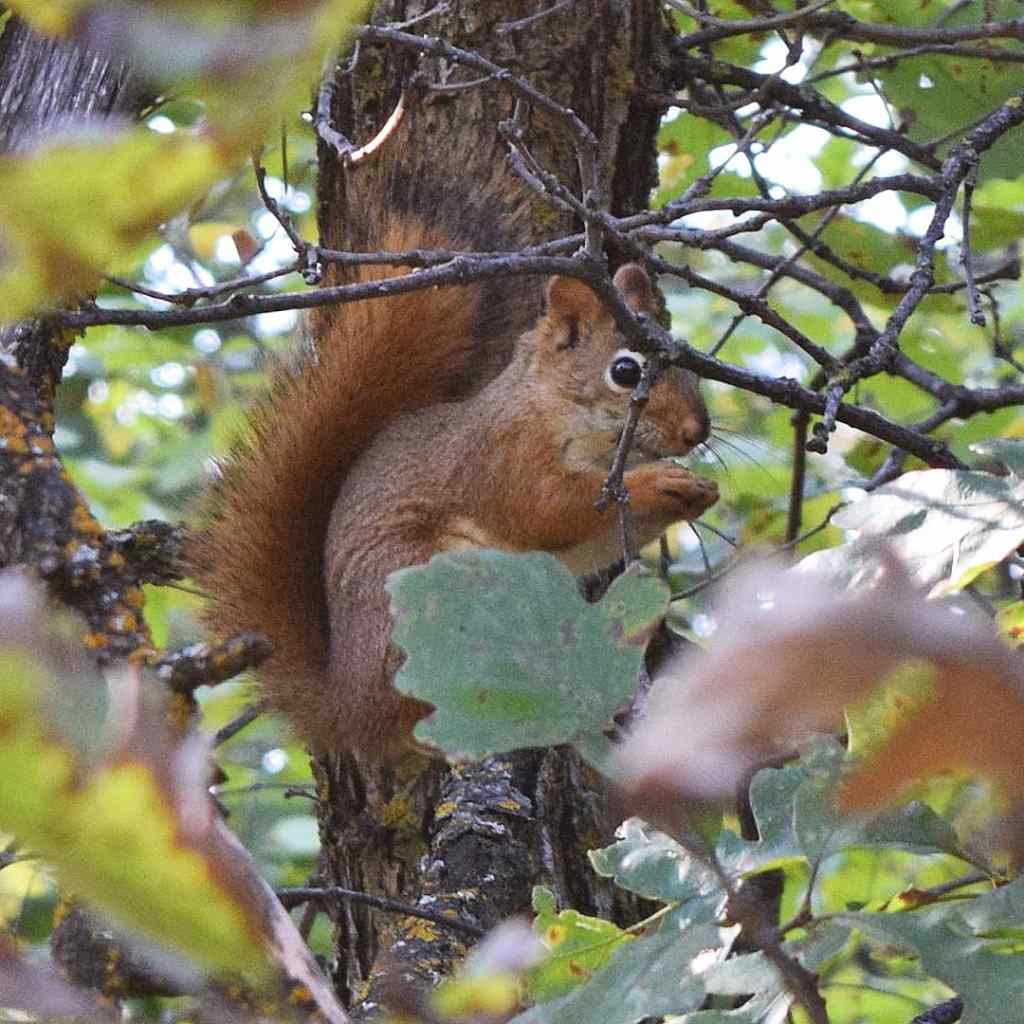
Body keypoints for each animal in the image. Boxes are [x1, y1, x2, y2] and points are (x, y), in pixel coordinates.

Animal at [192, 115, 719, 760]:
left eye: (686, 358)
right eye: (625, 372)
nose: (698, 430)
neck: (557, 412)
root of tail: (348, 713)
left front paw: (696, 491)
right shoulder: (501, 457)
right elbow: (545, 510)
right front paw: (662, 483)